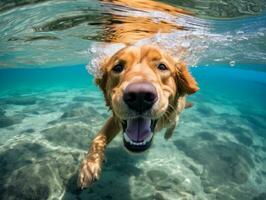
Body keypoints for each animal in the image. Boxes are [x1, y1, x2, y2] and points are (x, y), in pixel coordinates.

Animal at [78, 44, 198, 189]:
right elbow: (98, 138)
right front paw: (89, 166)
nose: (139, 96)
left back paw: (168, 135)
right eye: (118, 67)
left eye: (162, 66)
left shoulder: (172, 114)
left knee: (175, 121)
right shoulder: (116, 119)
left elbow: (174, 121)